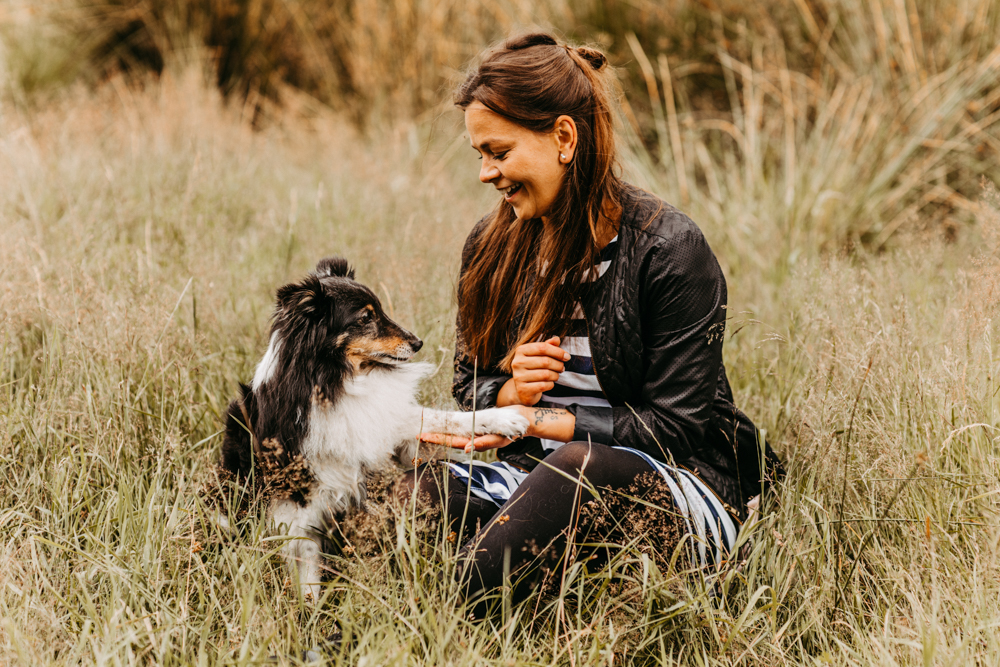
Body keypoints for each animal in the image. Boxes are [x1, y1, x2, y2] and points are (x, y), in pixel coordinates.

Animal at [220, 258, 532, 600]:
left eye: (380, 310)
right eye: (365, 318)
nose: (418, 343)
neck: (335, 378)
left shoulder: (381, 428)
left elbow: (439, 420)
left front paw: (501, 419)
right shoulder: (298, 509)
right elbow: (306, 574)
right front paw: (310, 613)